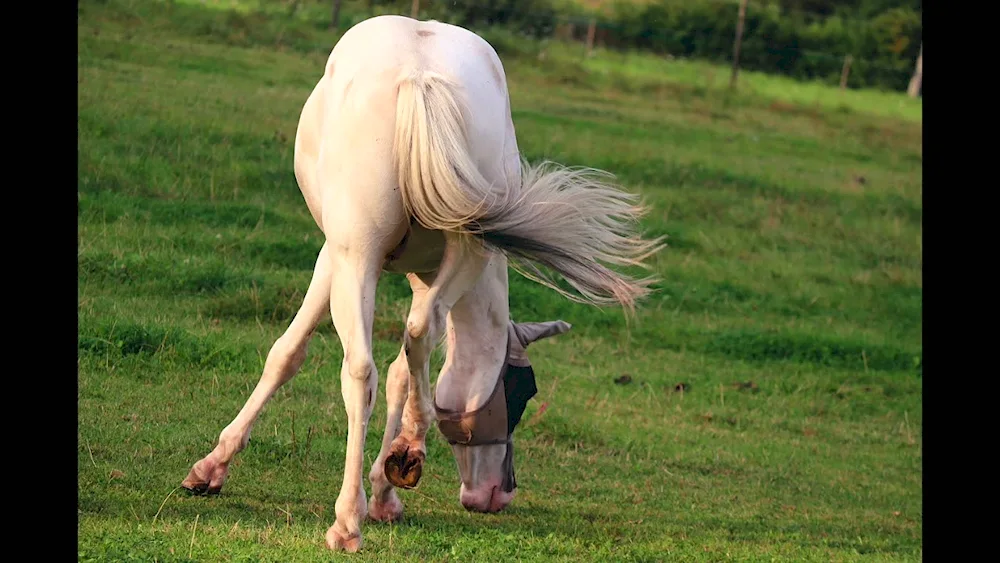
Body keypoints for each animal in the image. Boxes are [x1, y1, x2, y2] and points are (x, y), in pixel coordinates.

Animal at [180, 14, 664, 556]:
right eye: (521, 394)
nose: (499, 493)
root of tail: (419, 75)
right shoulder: (370, 265)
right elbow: (356, 360)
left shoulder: (344, 258)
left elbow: (330, 358)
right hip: (455, 250)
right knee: (415, 334)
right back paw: (395, 463)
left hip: (364, 257)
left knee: (364, 369)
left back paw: (351, 516)